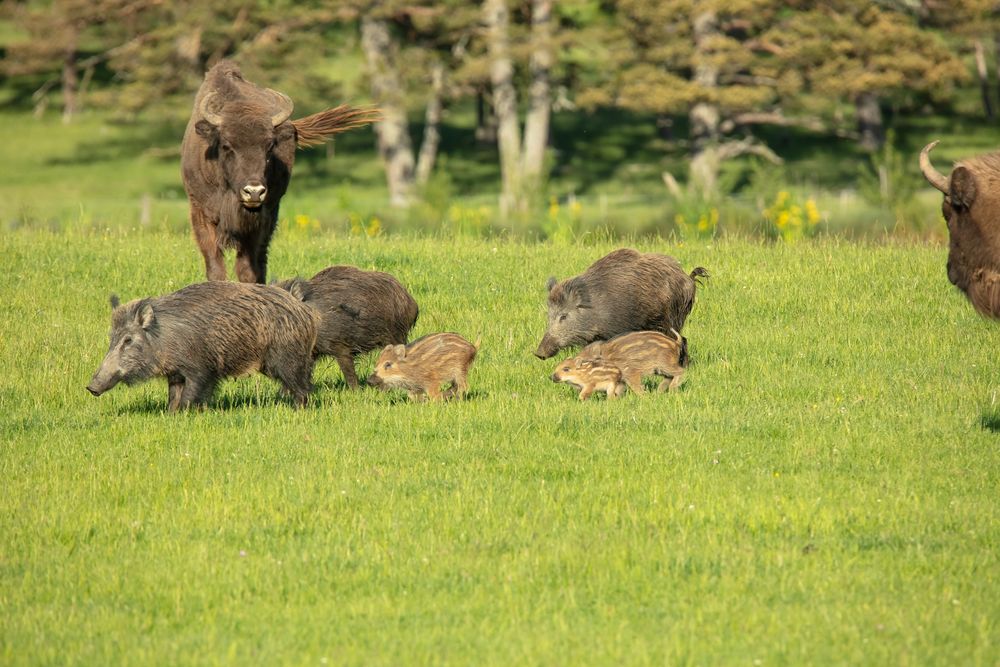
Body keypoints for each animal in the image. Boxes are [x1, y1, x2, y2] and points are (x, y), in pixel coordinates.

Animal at [181, 60, 377, 283]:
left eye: (270, 146)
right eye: (226, 145)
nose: (254, 192)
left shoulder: (260, 218)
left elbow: (247, 267)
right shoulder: (200, 212)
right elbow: (214, 263)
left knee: (261, 258)